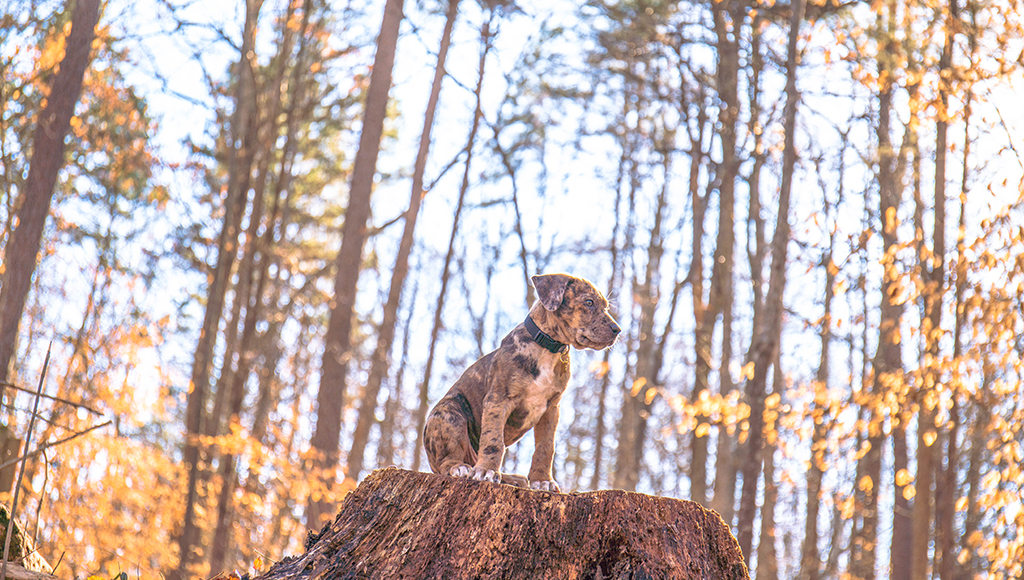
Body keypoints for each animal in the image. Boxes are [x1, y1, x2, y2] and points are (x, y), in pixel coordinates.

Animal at [419, 274, 618, 493]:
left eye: (606, 306)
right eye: (589, 302)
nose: (617, 330)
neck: (547, 347)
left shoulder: (551, 410)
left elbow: (546, 447)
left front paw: (542, 481)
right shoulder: (498, 400)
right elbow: (493, 440)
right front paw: (486, 471)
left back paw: (511, 478)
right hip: (449, 412)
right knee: (446, 461)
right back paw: (460, 468)